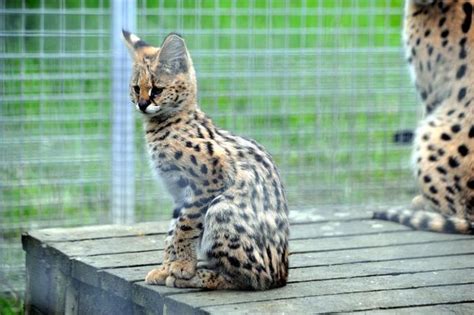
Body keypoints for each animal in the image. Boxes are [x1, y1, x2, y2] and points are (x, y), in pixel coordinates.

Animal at [122, 30, 288, 290]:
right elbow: (171, 231)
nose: (142, 104)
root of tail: (284, 272)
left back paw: (199, 277)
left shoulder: (207, 182)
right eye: (136, 88)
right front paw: (167, 266)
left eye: (157, 89)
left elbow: (185, 226)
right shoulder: (179, 193)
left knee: (258, 278)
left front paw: (181, 267)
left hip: (221, 209)